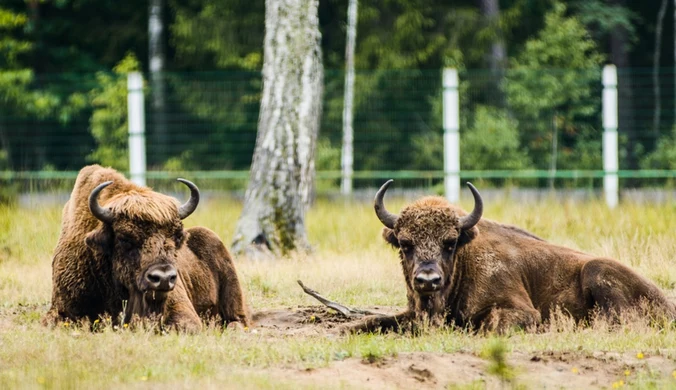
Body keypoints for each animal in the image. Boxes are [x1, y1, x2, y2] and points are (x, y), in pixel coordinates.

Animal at [348, 180, 676, 332]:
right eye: (405, 244)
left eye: (450, 242)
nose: (428, 280)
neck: (466, 261)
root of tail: (667, 304)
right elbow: (374, 320)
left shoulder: (522, 310)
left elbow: (489, 325)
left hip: (597, 270)